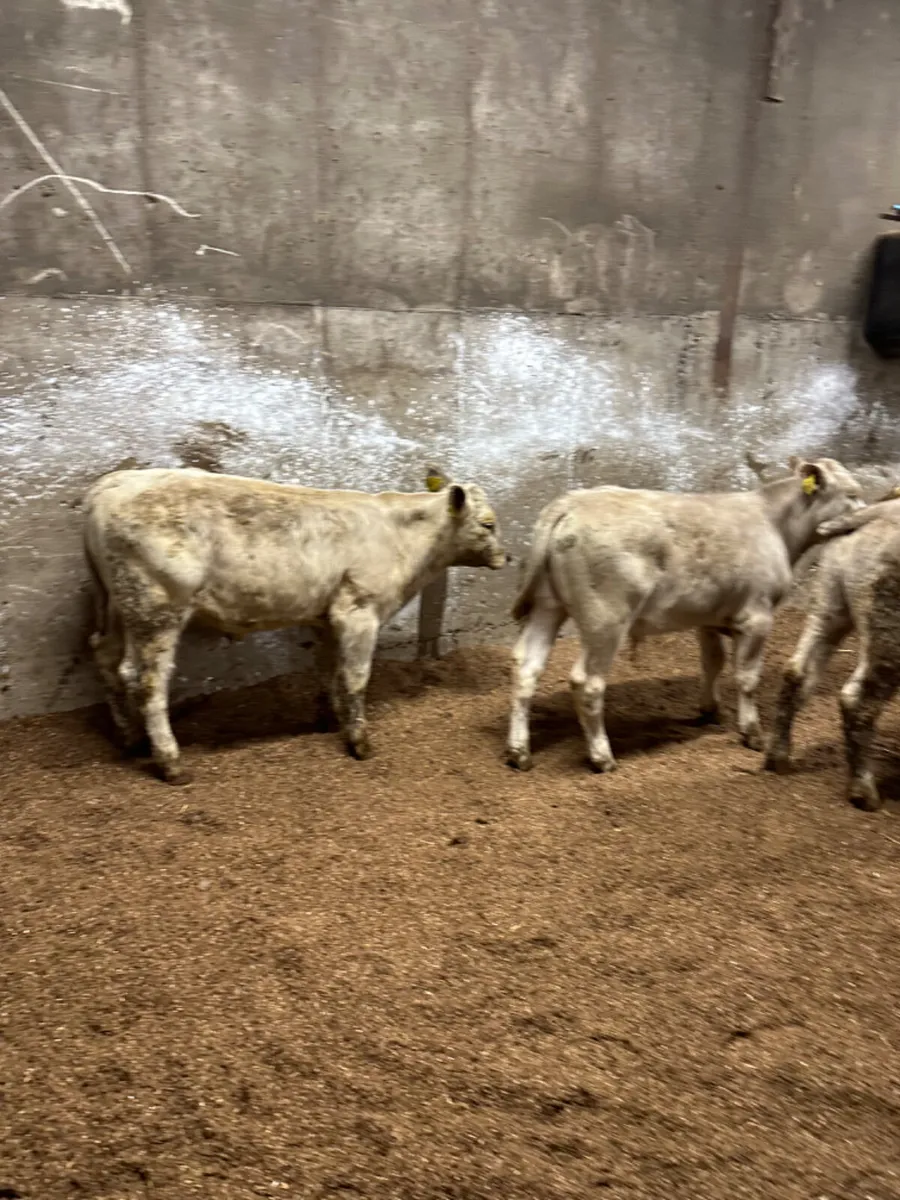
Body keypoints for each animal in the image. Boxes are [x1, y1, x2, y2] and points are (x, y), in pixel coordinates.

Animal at [83, 466, 506, 784]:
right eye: (488, 524)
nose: (508, 556)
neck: (401, 535)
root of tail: (109, 486)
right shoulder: (359, 611)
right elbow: (355, 678)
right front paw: (359, 741)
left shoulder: (326, 616)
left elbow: (327, 671)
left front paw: (329, 719)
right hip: (159, 607)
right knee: (147, 681)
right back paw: (170, 762)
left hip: (117, 604)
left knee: (108, 658)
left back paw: (130, 739)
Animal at [505, 457, 864, 775]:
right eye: (851, 493)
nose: (865, 515)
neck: (776, 525)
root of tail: (571, 502)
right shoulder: (757, 616)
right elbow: (747, 677)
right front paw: (752, 733)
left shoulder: (708, 616)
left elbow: (713, 662)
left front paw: (709, 710)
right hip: (605, 619)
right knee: (587, 683)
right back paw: (602, 757)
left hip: (547, 605)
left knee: (526, 668)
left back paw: (518, 751)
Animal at [764, 493, 900, 811]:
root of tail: (874, 515)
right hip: (889, 630)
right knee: (857, 700)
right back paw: (863, 791)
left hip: (830, 603)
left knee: (797, 672)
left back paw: (778, 756)